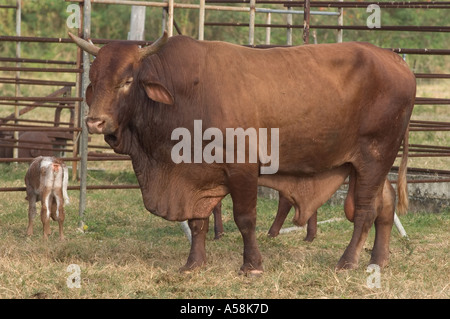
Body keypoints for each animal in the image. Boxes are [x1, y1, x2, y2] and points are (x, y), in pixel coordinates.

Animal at [70, 33, 414, 278]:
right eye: (94, 80)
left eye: (127, 81)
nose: (95, 121)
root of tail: (395, 61)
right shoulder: (195, 174)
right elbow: (198, 221)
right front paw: (193, 264)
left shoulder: (242, 167)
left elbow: (245, 219)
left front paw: (252, 266)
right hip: (369, 163)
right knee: (386, 203)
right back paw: (377, 260)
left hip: (374, 155)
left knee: (366, 211)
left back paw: (348, 261)